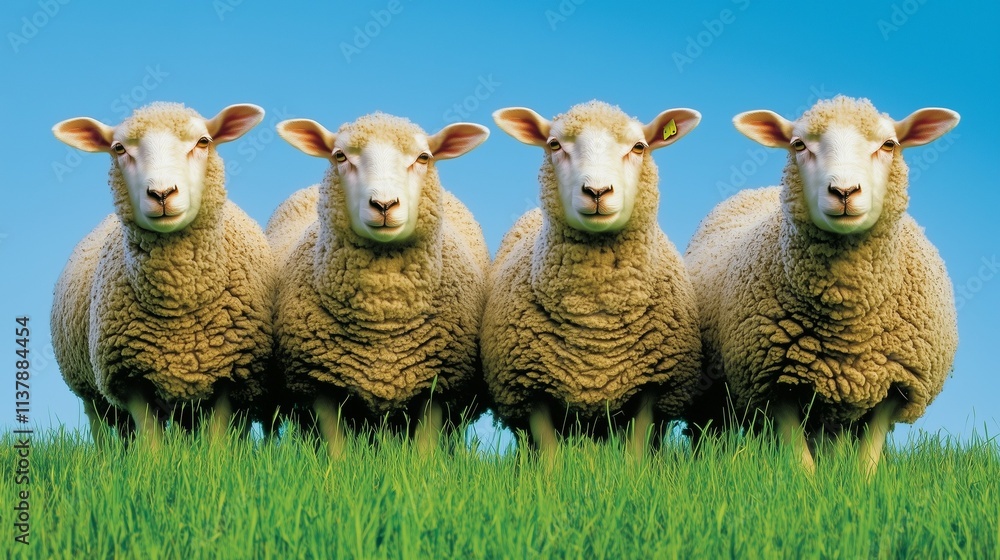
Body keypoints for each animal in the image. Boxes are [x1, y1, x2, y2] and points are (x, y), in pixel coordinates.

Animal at [51, 102, 275, 445]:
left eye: (203, 142)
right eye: (119, 148)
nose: (161, 193)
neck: (178, 300)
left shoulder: (231, 375)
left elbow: (217, 441)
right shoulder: (129, 377)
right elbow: (151, 442)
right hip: (88, 388)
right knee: (104, 429)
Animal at [270, 112, 490, 457]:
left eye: (423, 157)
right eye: (340, 156)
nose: (384, 204)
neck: (383, 318)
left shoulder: (437, 386)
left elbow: (425, 452)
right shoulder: (319, 385)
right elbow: (337, 450)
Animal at [483, 101, 704, 459]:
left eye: (639, 147)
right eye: (554, 145)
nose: (597, 191)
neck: (596, 317)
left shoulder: (654, 386)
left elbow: (636, 451)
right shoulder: (529, 388)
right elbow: (548, 455)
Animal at [685, 96, 960, 476]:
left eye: (889, 144)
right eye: (799, 145)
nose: (844, 191)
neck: (847, 314)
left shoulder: (896, 385)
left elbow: (867, 459)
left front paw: (859, 484)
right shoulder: (775, 381)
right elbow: (801, 461)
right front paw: (807, 486)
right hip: (711, 393)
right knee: (707, 433)